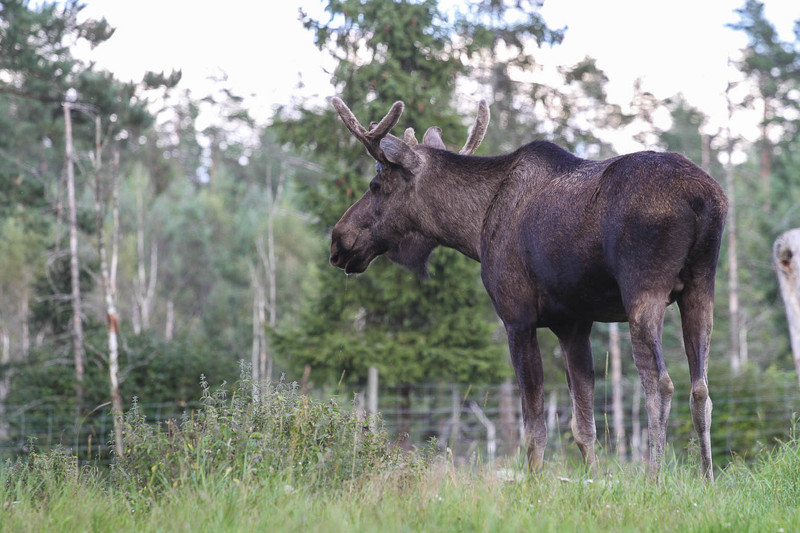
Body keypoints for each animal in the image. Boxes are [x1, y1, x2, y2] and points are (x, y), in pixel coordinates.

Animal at [328, 97, 727, 481]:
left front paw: (533, 485)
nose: (337, 240)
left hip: (644, 288)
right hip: (701, 286)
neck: (473, 229)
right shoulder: (573, 324)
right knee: (701, 389)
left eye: (376, 186)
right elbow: (583, 425)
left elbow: (534, 427)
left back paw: (653, 478)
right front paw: (595, 482)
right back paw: (707, 479)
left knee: (660, 383)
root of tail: (704, 199)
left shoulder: (517, 317)